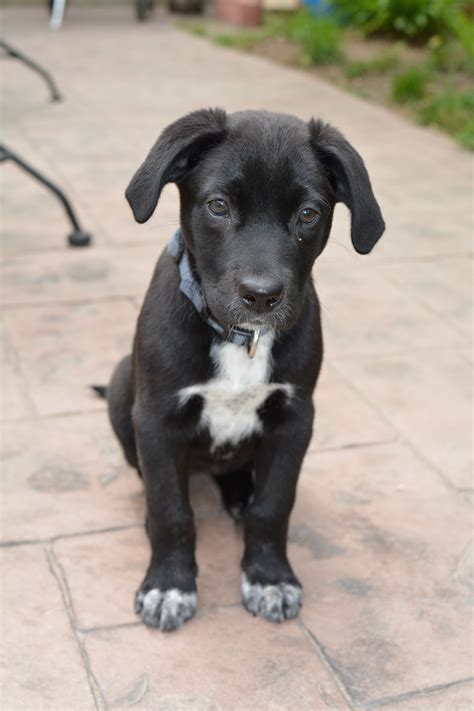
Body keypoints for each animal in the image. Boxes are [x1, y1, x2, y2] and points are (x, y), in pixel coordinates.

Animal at [103, 111, 386, 636]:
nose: (261, 296)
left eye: (308, 214)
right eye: (218, 206)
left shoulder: (294, 419)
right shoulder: (155, 418)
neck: (243, 338)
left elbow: (273, 506)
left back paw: (238, 494)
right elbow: (171, 509)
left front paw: (269, 578)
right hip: (118, 387)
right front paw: (169, 586)